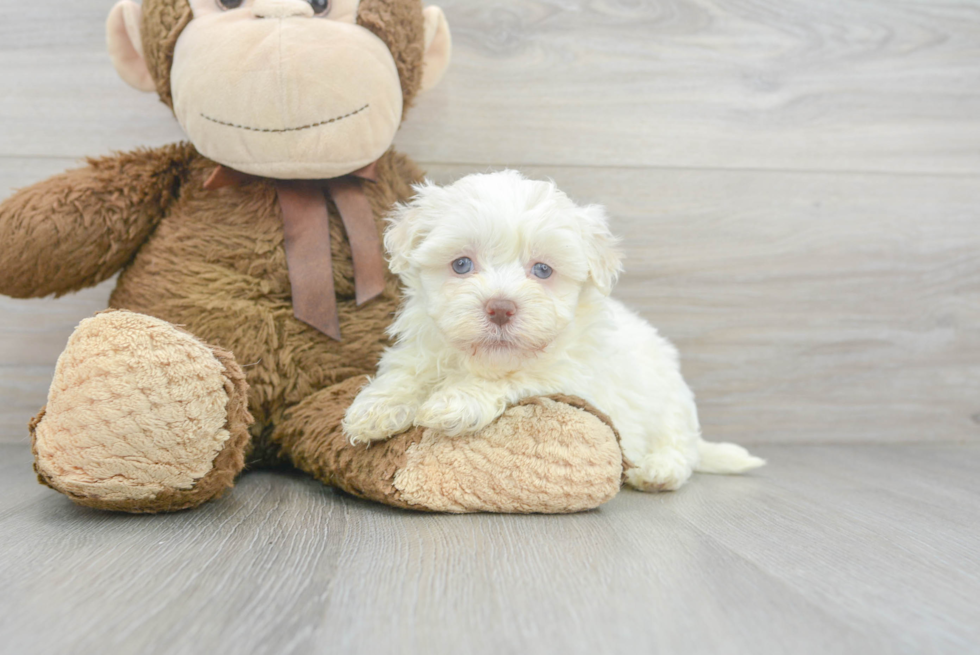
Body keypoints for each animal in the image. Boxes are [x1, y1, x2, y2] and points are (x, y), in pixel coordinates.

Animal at [344, 172, 764, 490]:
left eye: (543, 270)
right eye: (461, 264)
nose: (500, 307)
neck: (482, 361)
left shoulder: (573, 376)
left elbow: (518, 376)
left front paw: (457, 402)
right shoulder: (422, 348)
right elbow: (407, 372)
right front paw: (375, 409)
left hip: (670, 403)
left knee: (681, 447)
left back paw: (659, 469)